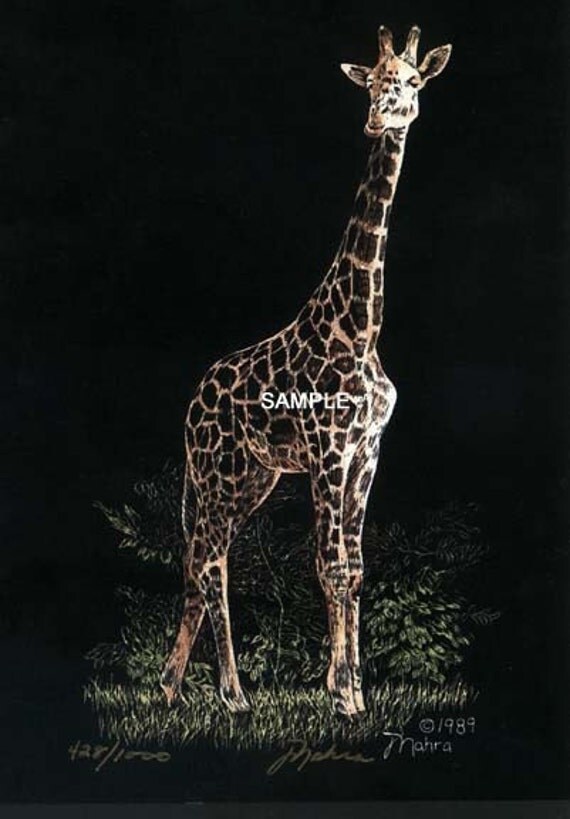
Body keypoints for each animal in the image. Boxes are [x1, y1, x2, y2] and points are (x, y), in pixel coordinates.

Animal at [161, 25, 452, 716]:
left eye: (410, 81)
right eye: (371, 83)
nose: (378, 119)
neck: (362, 328)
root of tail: (191, 402)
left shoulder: (367, 450)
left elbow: (356, 567)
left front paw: (351, 688)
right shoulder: (328, 449)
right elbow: (329, 565)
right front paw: (343, 695)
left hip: (251, 478)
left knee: (196, 561)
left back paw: (168, 687)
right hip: (216, 473)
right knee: (212, 563)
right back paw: (232, 695)